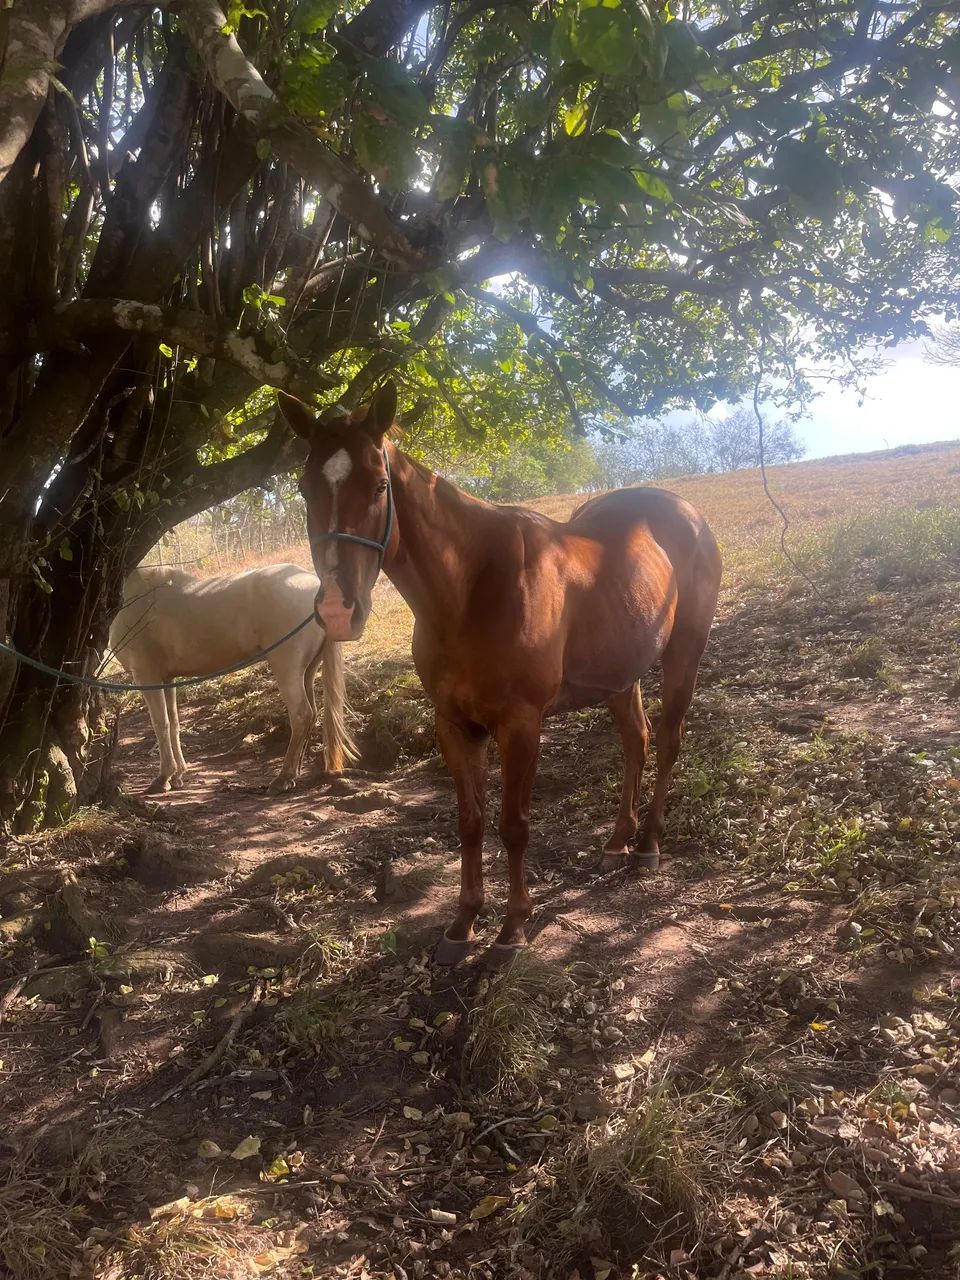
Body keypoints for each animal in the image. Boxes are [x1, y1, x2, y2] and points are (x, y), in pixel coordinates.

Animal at [108, 564, 355, 795]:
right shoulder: (167, 679)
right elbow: (174, 724)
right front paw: (178, 775)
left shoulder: (146, 675)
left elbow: (160, 724)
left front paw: (163, 778)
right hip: (307, 671)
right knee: (311, 715)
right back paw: (294, 772)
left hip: (287, 669)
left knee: (301, 715)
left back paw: (282, 778)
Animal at [279, 382, 722, 967]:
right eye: (305, 488)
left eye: (379, 484)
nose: (335, 610)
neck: (472, 589)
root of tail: (687, 514)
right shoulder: (454, 725)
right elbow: (470, 823)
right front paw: (463, 922)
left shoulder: (520, 724)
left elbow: (513, 826)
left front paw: (513, 928)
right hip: (620, 675)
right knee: (637, 741)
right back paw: (616, 841)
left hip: (682, 656)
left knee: (668, 739)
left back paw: (647, 843)